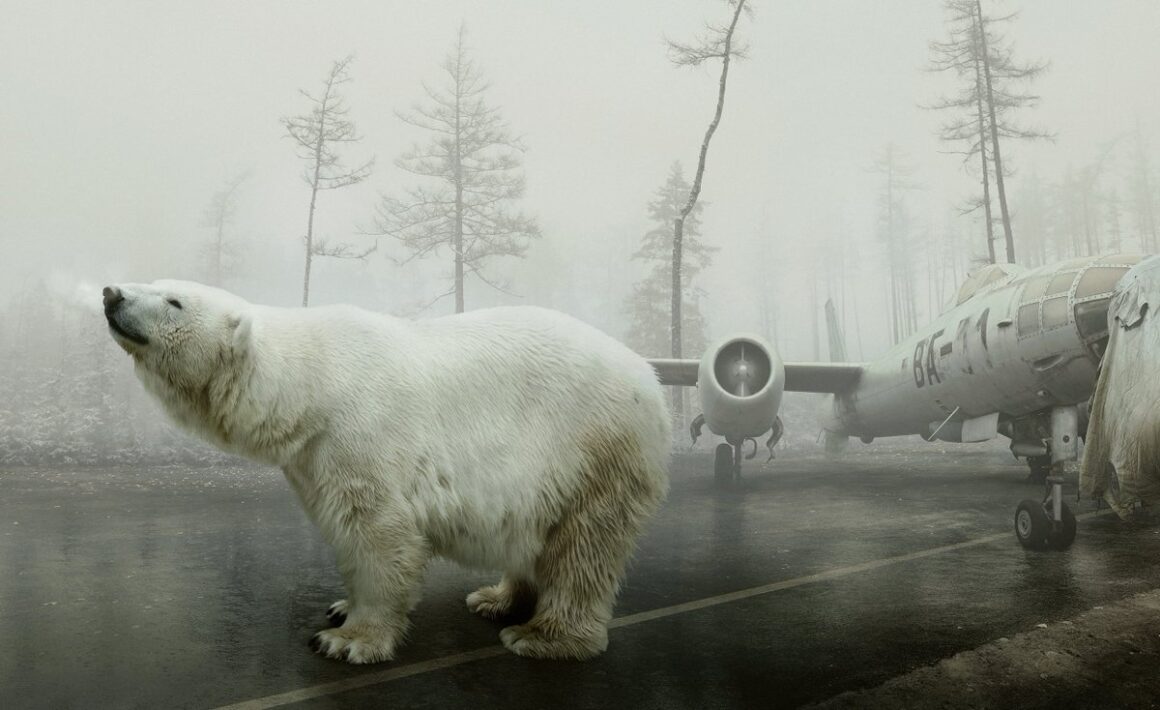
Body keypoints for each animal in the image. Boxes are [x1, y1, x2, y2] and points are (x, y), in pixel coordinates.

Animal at [105, 279, 677, 663]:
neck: (309, 388)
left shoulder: (361, 433)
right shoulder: (311, 458)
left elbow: (379, 533)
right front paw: (341, 608)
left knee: (584, 545)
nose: (111, 293)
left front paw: (346, 640)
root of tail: (648, 376)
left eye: (174, 300)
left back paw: (543, 636)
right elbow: (343, 530)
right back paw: (495, 599)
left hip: (593, 447)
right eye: (154, 281)